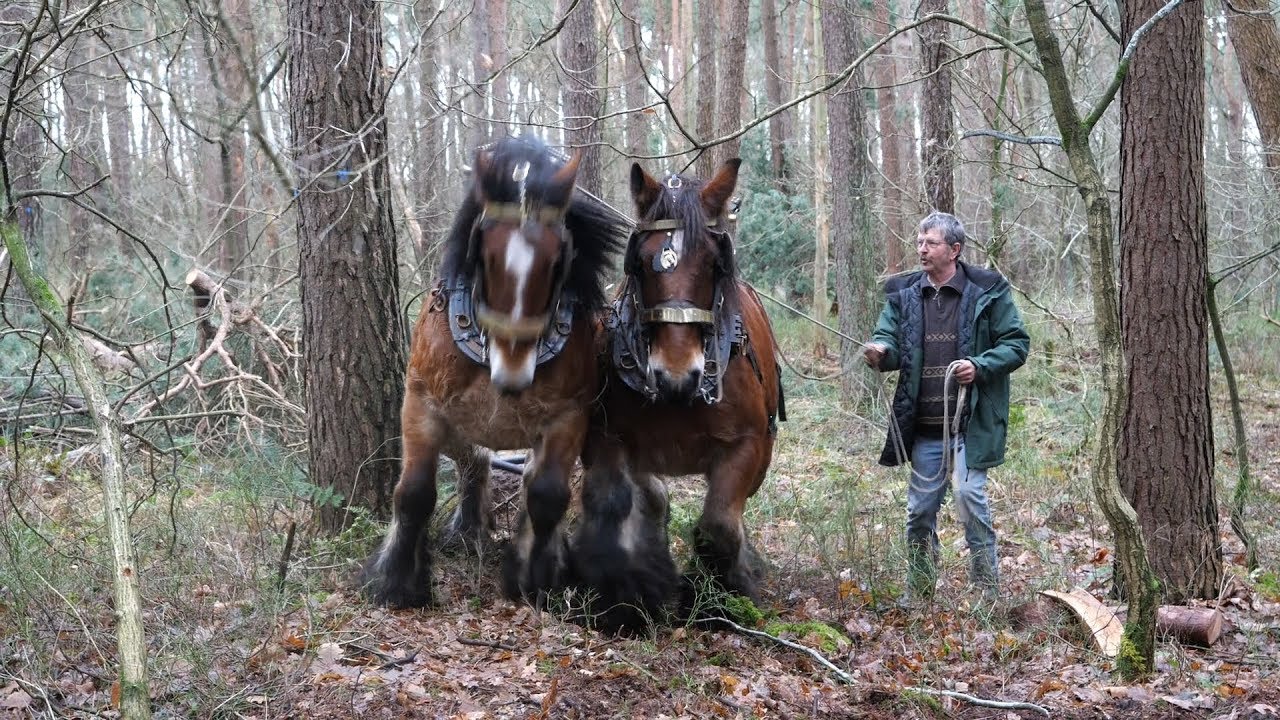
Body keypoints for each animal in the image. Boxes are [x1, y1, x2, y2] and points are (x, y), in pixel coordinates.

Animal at [362, 135, 628, 608]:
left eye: (557, 261)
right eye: (482, 255)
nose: (514, 374)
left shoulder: (568, 417)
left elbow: (546, 495)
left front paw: (535, 579)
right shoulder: (422, 404)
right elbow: (413, 494)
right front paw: (395, 583)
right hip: (456, 425)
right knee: (475, 460)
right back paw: (468, 529)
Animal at [570, 158, 786, 629]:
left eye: (714, 263)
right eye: (641, 263)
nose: (675, 376)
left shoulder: (747, 444)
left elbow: (719, 524)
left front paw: (716, 600)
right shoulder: (610, 438)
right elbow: (628, 501)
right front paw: (630, 595)